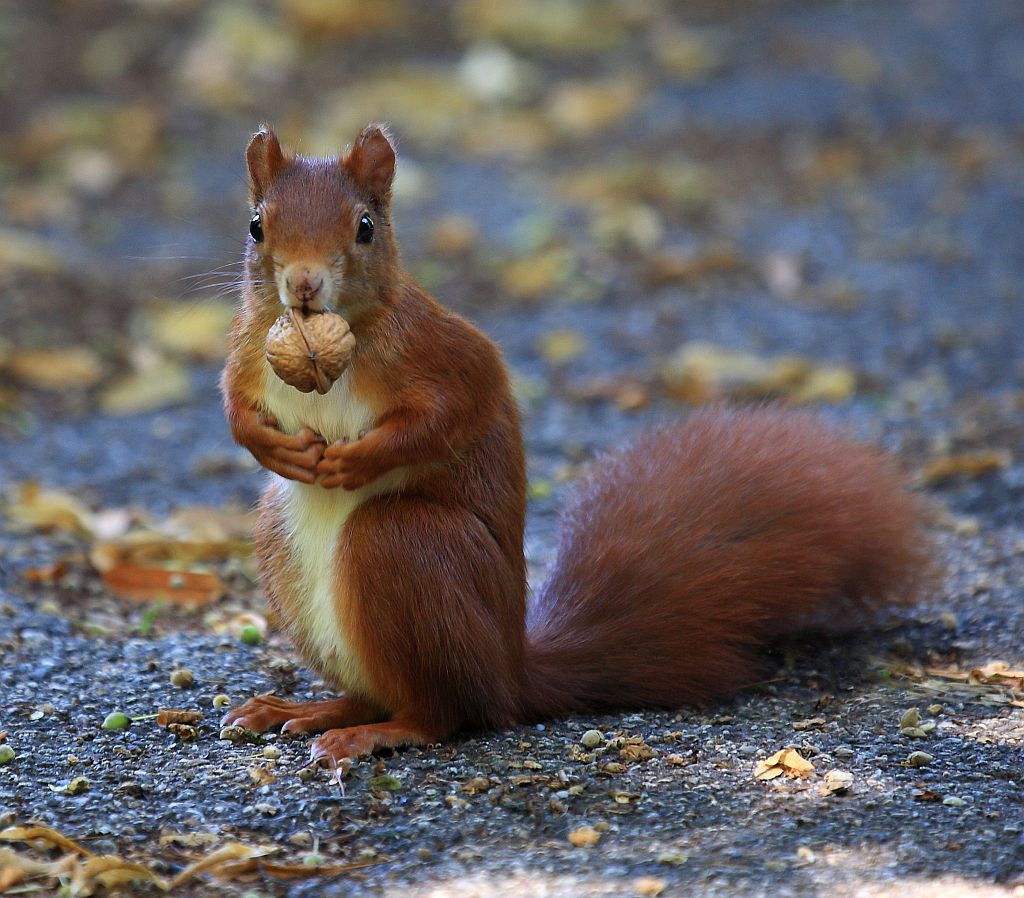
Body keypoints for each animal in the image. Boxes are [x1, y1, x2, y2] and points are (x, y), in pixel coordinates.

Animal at [220, 124, 933, 761]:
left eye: (365, 226)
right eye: (256, 225)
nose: (303, 284)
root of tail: (512, 671)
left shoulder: (441, 353)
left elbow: (451, 411)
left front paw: (358, 457)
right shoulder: (248, 348)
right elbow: (233, 403)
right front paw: (268, 446)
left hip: (405, 549)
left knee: (446, 712)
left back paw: (376, 731)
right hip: (281, 545)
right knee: (376, 692)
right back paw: (309, 709)